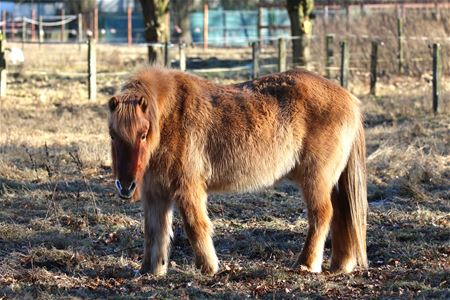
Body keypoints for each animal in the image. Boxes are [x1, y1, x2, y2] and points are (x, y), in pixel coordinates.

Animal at [109, 68, 370, 276]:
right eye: (113, 135)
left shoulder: (188, 189)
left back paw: (306, 264)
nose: (126, 186)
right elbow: (154, 232)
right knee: (341, 215)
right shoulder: (156, 194)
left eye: (143, 134)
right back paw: (340, 265)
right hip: (332, 182)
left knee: (322, 215)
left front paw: (208, 268)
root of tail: (349, 99)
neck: (170, 118)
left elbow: (196, 226)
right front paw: (150, 271)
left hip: (315, 180)